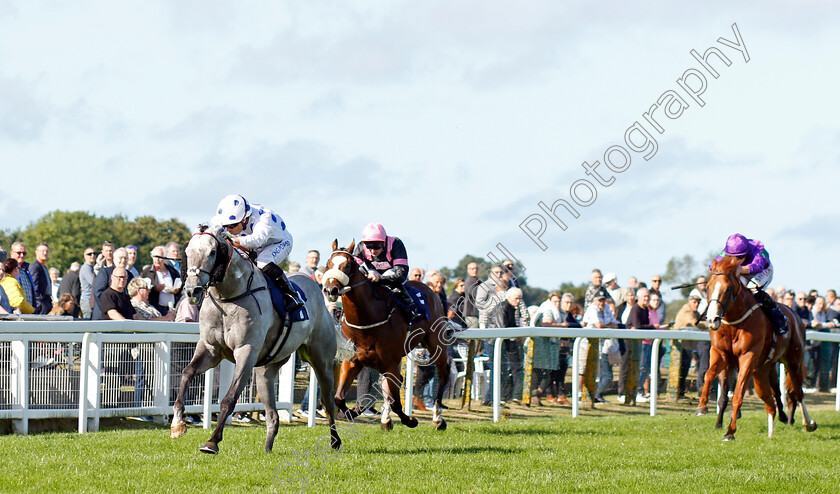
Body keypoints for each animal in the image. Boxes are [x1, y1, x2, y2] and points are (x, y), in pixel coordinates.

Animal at [171, 226, 344, 454]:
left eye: (212, 252)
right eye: (188, 252)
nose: (192, 290)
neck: (228, 297)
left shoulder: (246, 351)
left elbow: (229, 398)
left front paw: (212, 441)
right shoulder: (210, 349)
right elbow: (186, 373)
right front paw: (177, 422)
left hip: (322, 361)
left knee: (327, 401)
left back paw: (335, 440)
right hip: (266, 371)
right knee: (273, 415)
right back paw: (268, 448)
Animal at [322, 241, 452, 430]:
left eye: (347, 265)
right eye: (328, 264)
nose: (330, 290)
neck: (366, 322)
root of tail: (428, 289)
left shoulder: (389, 363)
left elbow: (396, 402)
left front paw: (410, 420)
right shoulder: (352, 361)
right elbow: (339, 398)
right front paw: (355, 411)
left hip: (435, 344)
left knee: (443, 373)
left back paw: (438, 418)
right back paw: (385, 419)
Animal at [696, 255, 820, 440]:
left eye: (728, 288)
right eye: (708, 287)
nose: (712, 319)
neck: (734, 323)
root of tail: (795, 315)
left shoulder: (748, 356)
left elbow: (738, 395)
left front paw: (730, 432)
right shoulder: (720, 353)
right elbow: (709, 375)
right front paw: (702, 407)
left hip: (793, 360)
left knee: (798, 392)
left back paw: (808, 423)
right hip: (766, 366)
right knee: (775, 392)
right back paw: (780, 421)